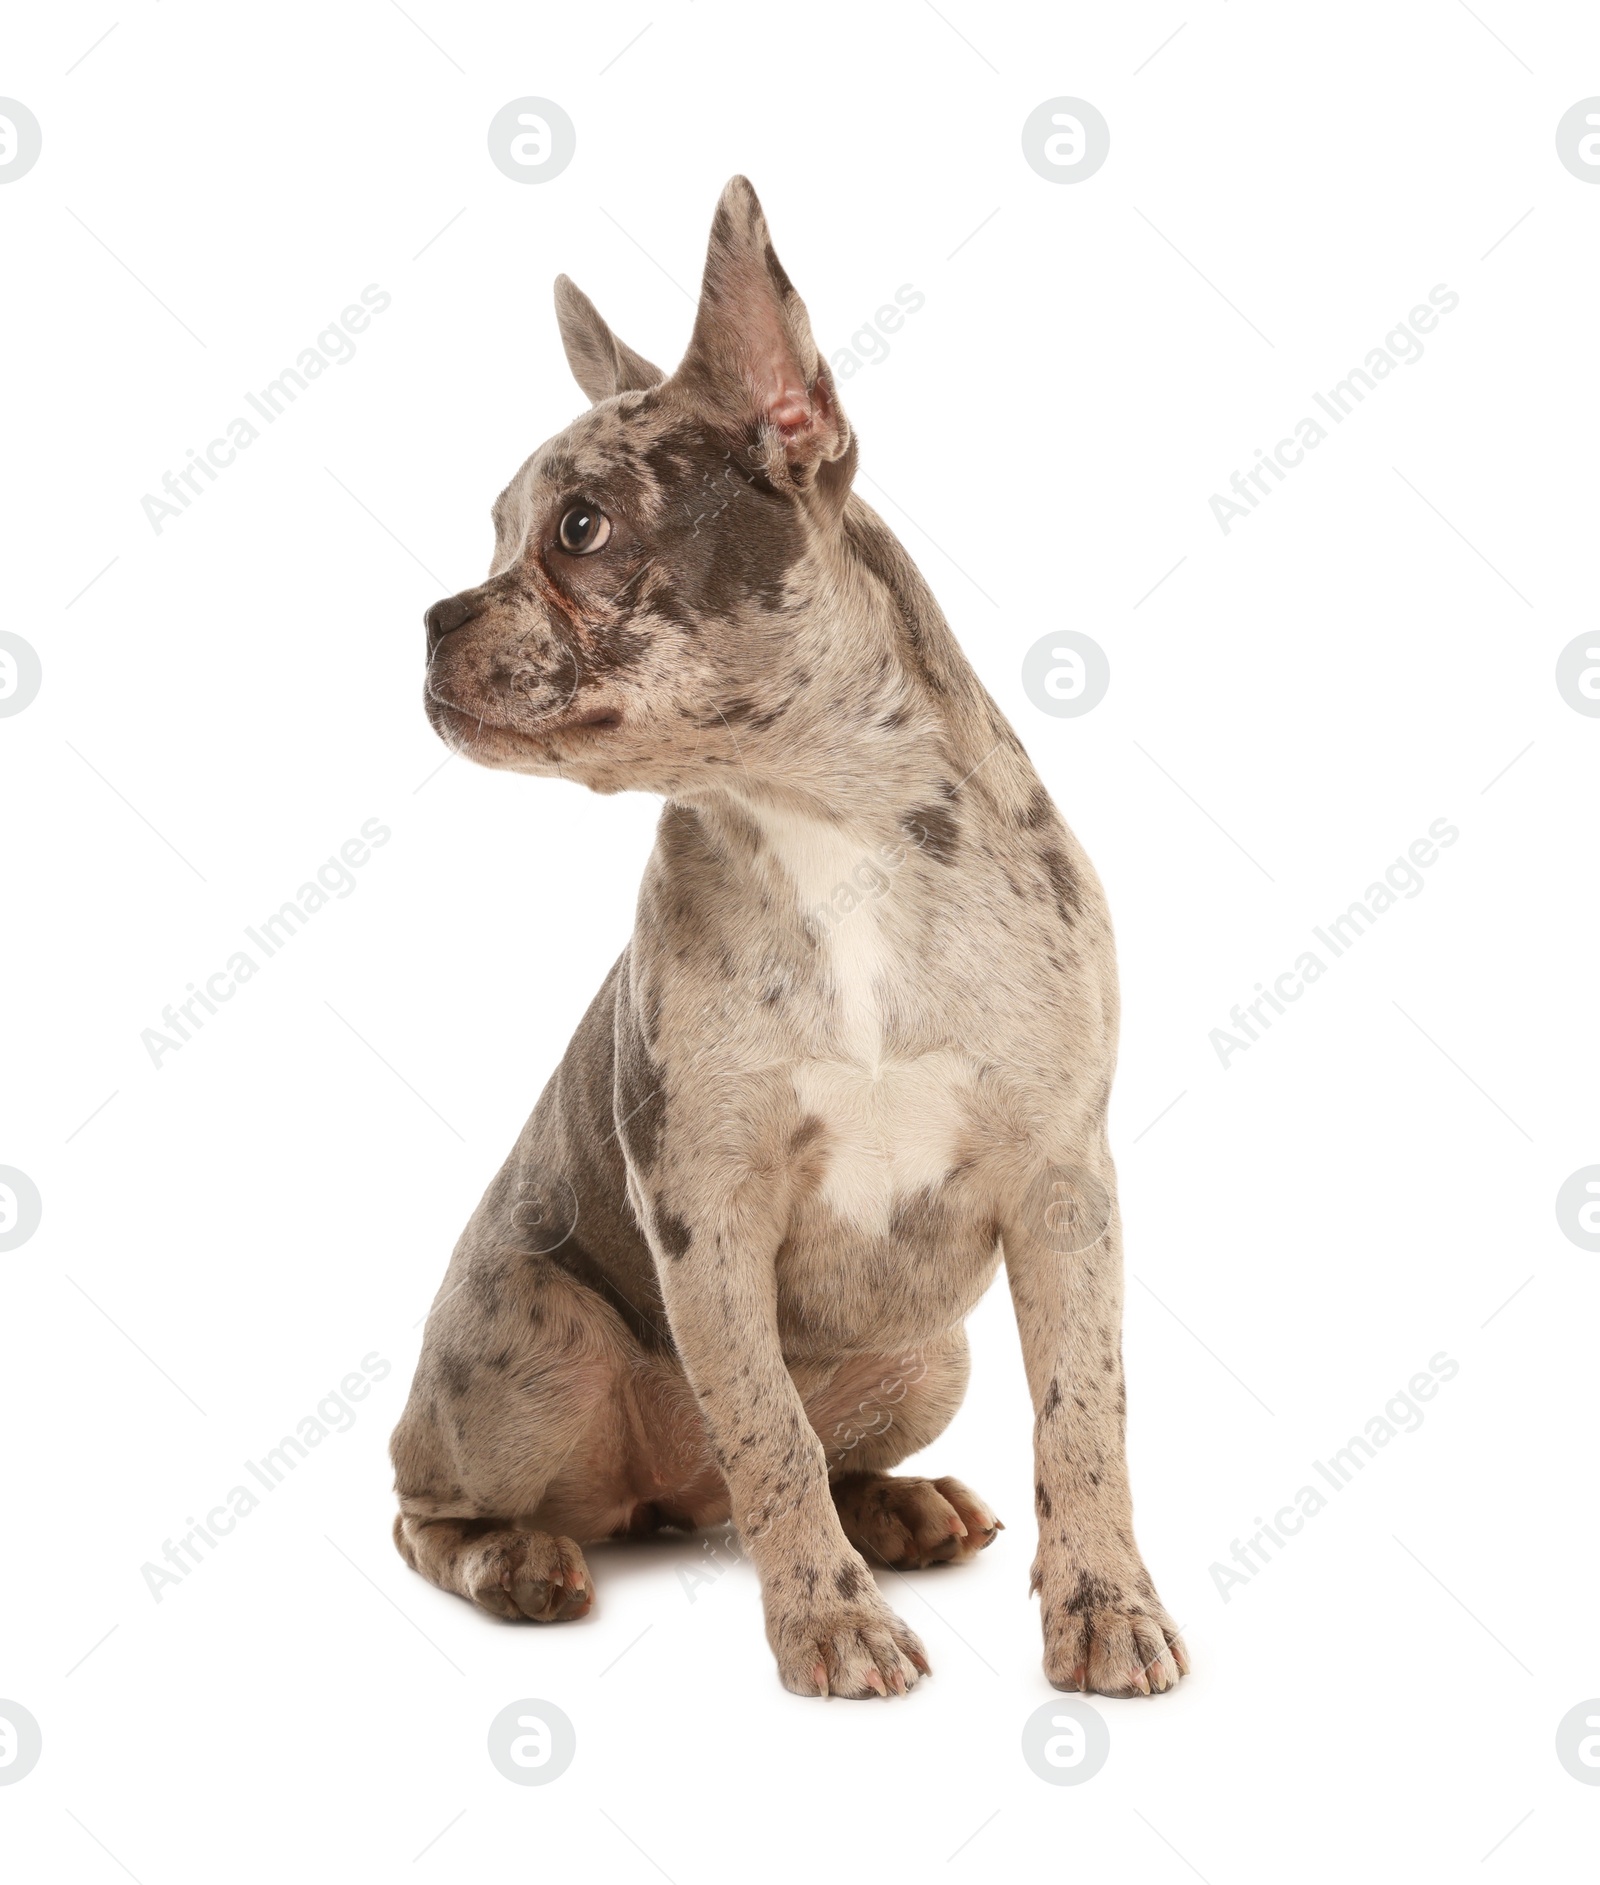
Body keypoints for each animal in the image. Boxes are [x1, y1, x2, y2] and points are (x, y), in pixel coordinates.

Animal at [388, 177, 1183, 1704]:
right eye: (499, 533)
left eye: (579, 529)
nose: (433, 619)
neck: (823, 821)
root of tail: (661, 1500)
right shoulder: (707, 1206)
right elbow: (765, 1430)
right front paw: (830, 1619)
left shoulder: (1065, 1190)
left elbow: (1087, 1413)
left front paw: (1105, 1602)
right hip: (533, 1354)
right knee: (435, 1507)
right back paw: (521, 1560)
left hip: (926, 1354)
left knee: (835, 1448)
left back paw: (902, 1505)